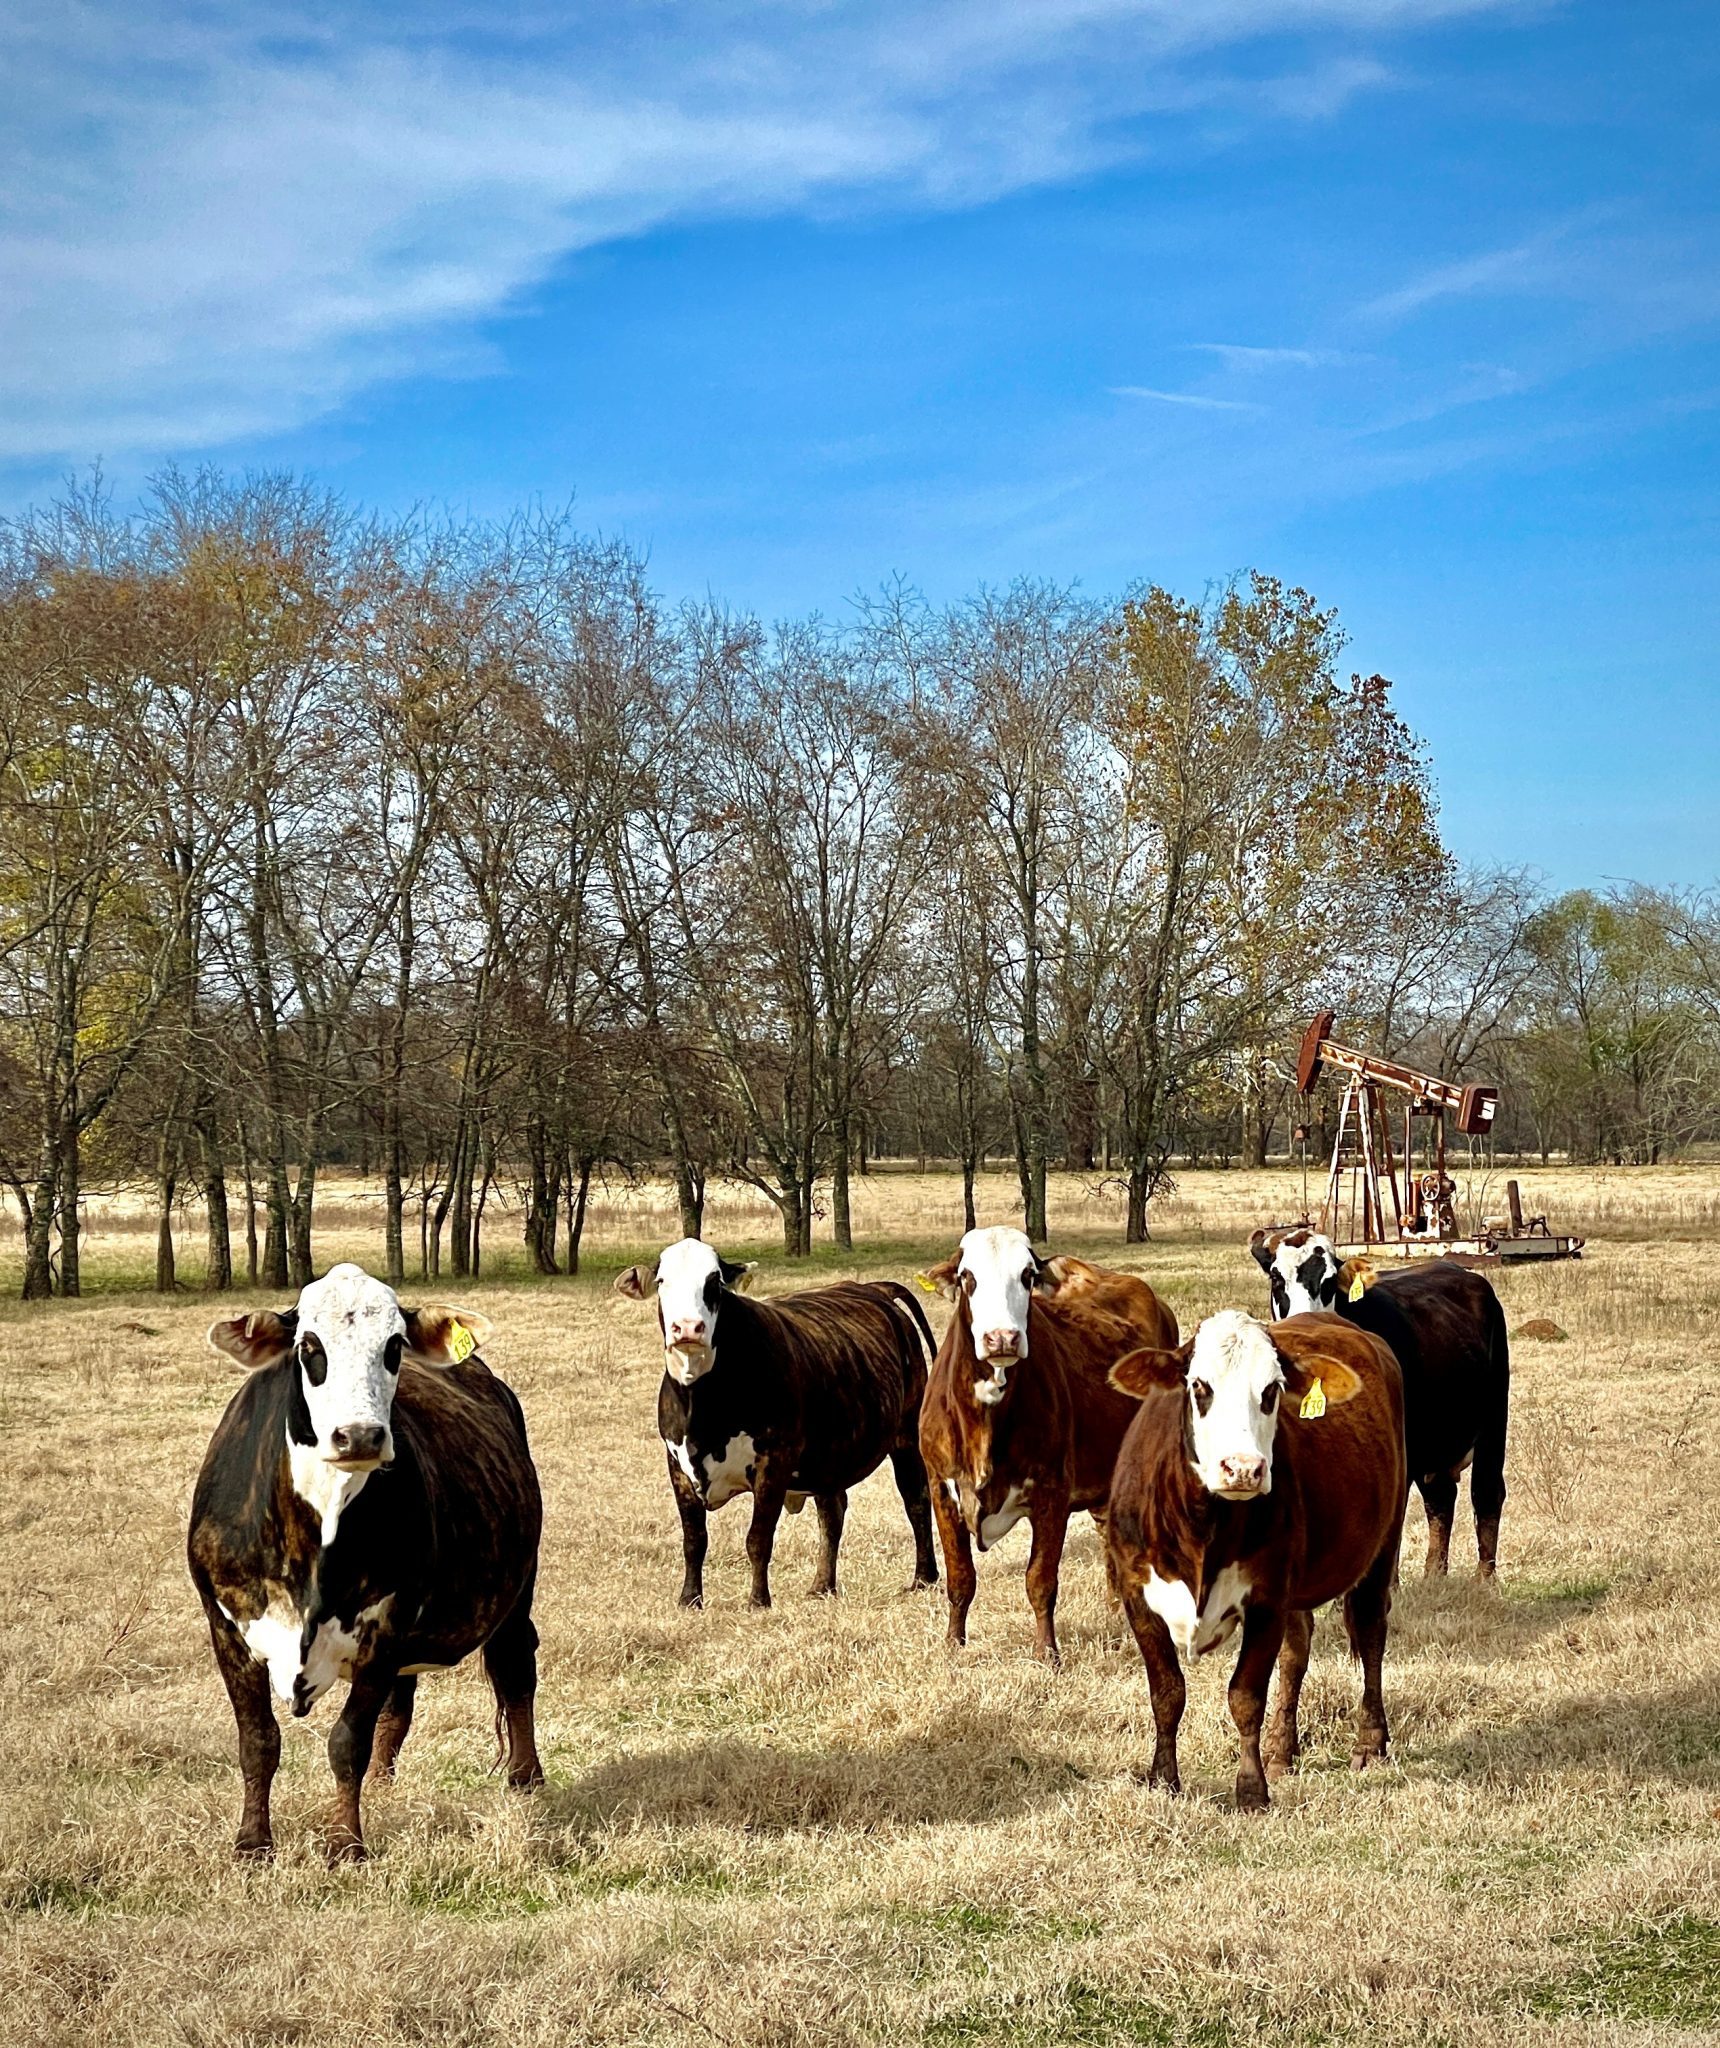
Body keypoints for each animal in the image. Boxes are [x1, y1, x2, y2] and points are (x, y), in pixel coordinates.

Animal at [187, 1265, 543, 1862]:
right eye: (309, 1346)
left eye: (394, 1346)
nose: (359, 1435)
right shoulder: (226, 1627)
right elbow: (258, 1741)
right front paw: (253, 1842)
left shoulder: (386, 1627)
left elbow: (346, 1741)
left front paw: (345, 1842)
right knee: (400, 1708)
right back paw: (381, 1782)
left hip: (517, 1590)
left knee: (514, 1669)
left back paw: (525, 1776)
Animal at [613, 1240, 939, 1608]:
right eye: (661, 1282)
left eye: (714, 1282)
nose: (688, 1327)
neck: (703, 1406)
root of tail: (873, 1288)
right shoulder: (677, 1465)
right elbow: (694, 1539)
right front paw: (690, 1598)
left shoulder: (774, 1461)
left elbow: (758, 1538)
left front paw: (758, 1600)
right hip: (828, 1456)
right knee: (832, 1511)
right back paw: (822, 1584)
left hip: (906, 1436)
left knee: (916, 1498)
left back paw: (923, 1577)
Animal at [918, 1226, 1179, 1667]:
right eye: (968, 1276)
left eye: (1027, 1275)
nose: (1002, 1338)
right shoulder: (941, 1486)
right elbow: (960, 1577)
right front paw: (954, 1642)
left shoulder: (1052, 1492)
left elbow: (1040, 1580)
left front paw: (1047, 1652)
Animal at [1104, 1309, 1407, 1810]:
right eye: (1199, 1386)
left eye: (1271, 1390)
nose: (1243, 1468)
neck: (1201, 1528)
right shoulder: (1137, 1595)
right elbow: (1167, 1692)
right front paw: (1164, 1778)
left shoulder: (1267, 1598)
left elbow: (1245, 1695)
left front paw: (1251, 1790)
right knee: (1297, 1652)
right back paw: (1283, 1749)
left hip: (1384, 1542)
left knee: (1369, 1634)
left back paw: (1369, 1742)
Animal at [1249, 1226, 1510, 1577]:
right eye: (1277, 1279)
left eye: (1330, 1281)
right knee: (1440, 1498)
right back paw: (1433, 1576)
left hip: (1492, 1424)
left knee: (1486, 1493)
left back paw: (1485, 1579)